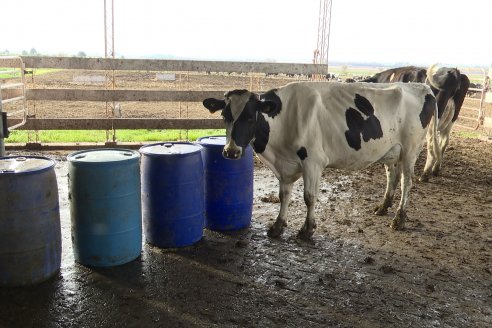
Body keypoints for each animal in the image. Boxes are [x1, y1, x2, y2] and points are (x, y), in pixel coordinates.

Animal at [203, 81, 438, 241]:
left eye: (250, 117)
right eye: (224, 116)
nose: (231, 151)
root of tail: (423, 87)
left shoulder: (313, 162)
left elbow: (309, 197)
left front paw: (307, 230)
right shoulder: (285, 166)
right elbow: (283, 196)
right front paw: (278, 226)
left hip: (411, 149)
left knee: (406, 182)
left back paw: (399, 218)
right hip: (391, 152)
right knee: (393, 176)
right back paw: (383, 207)